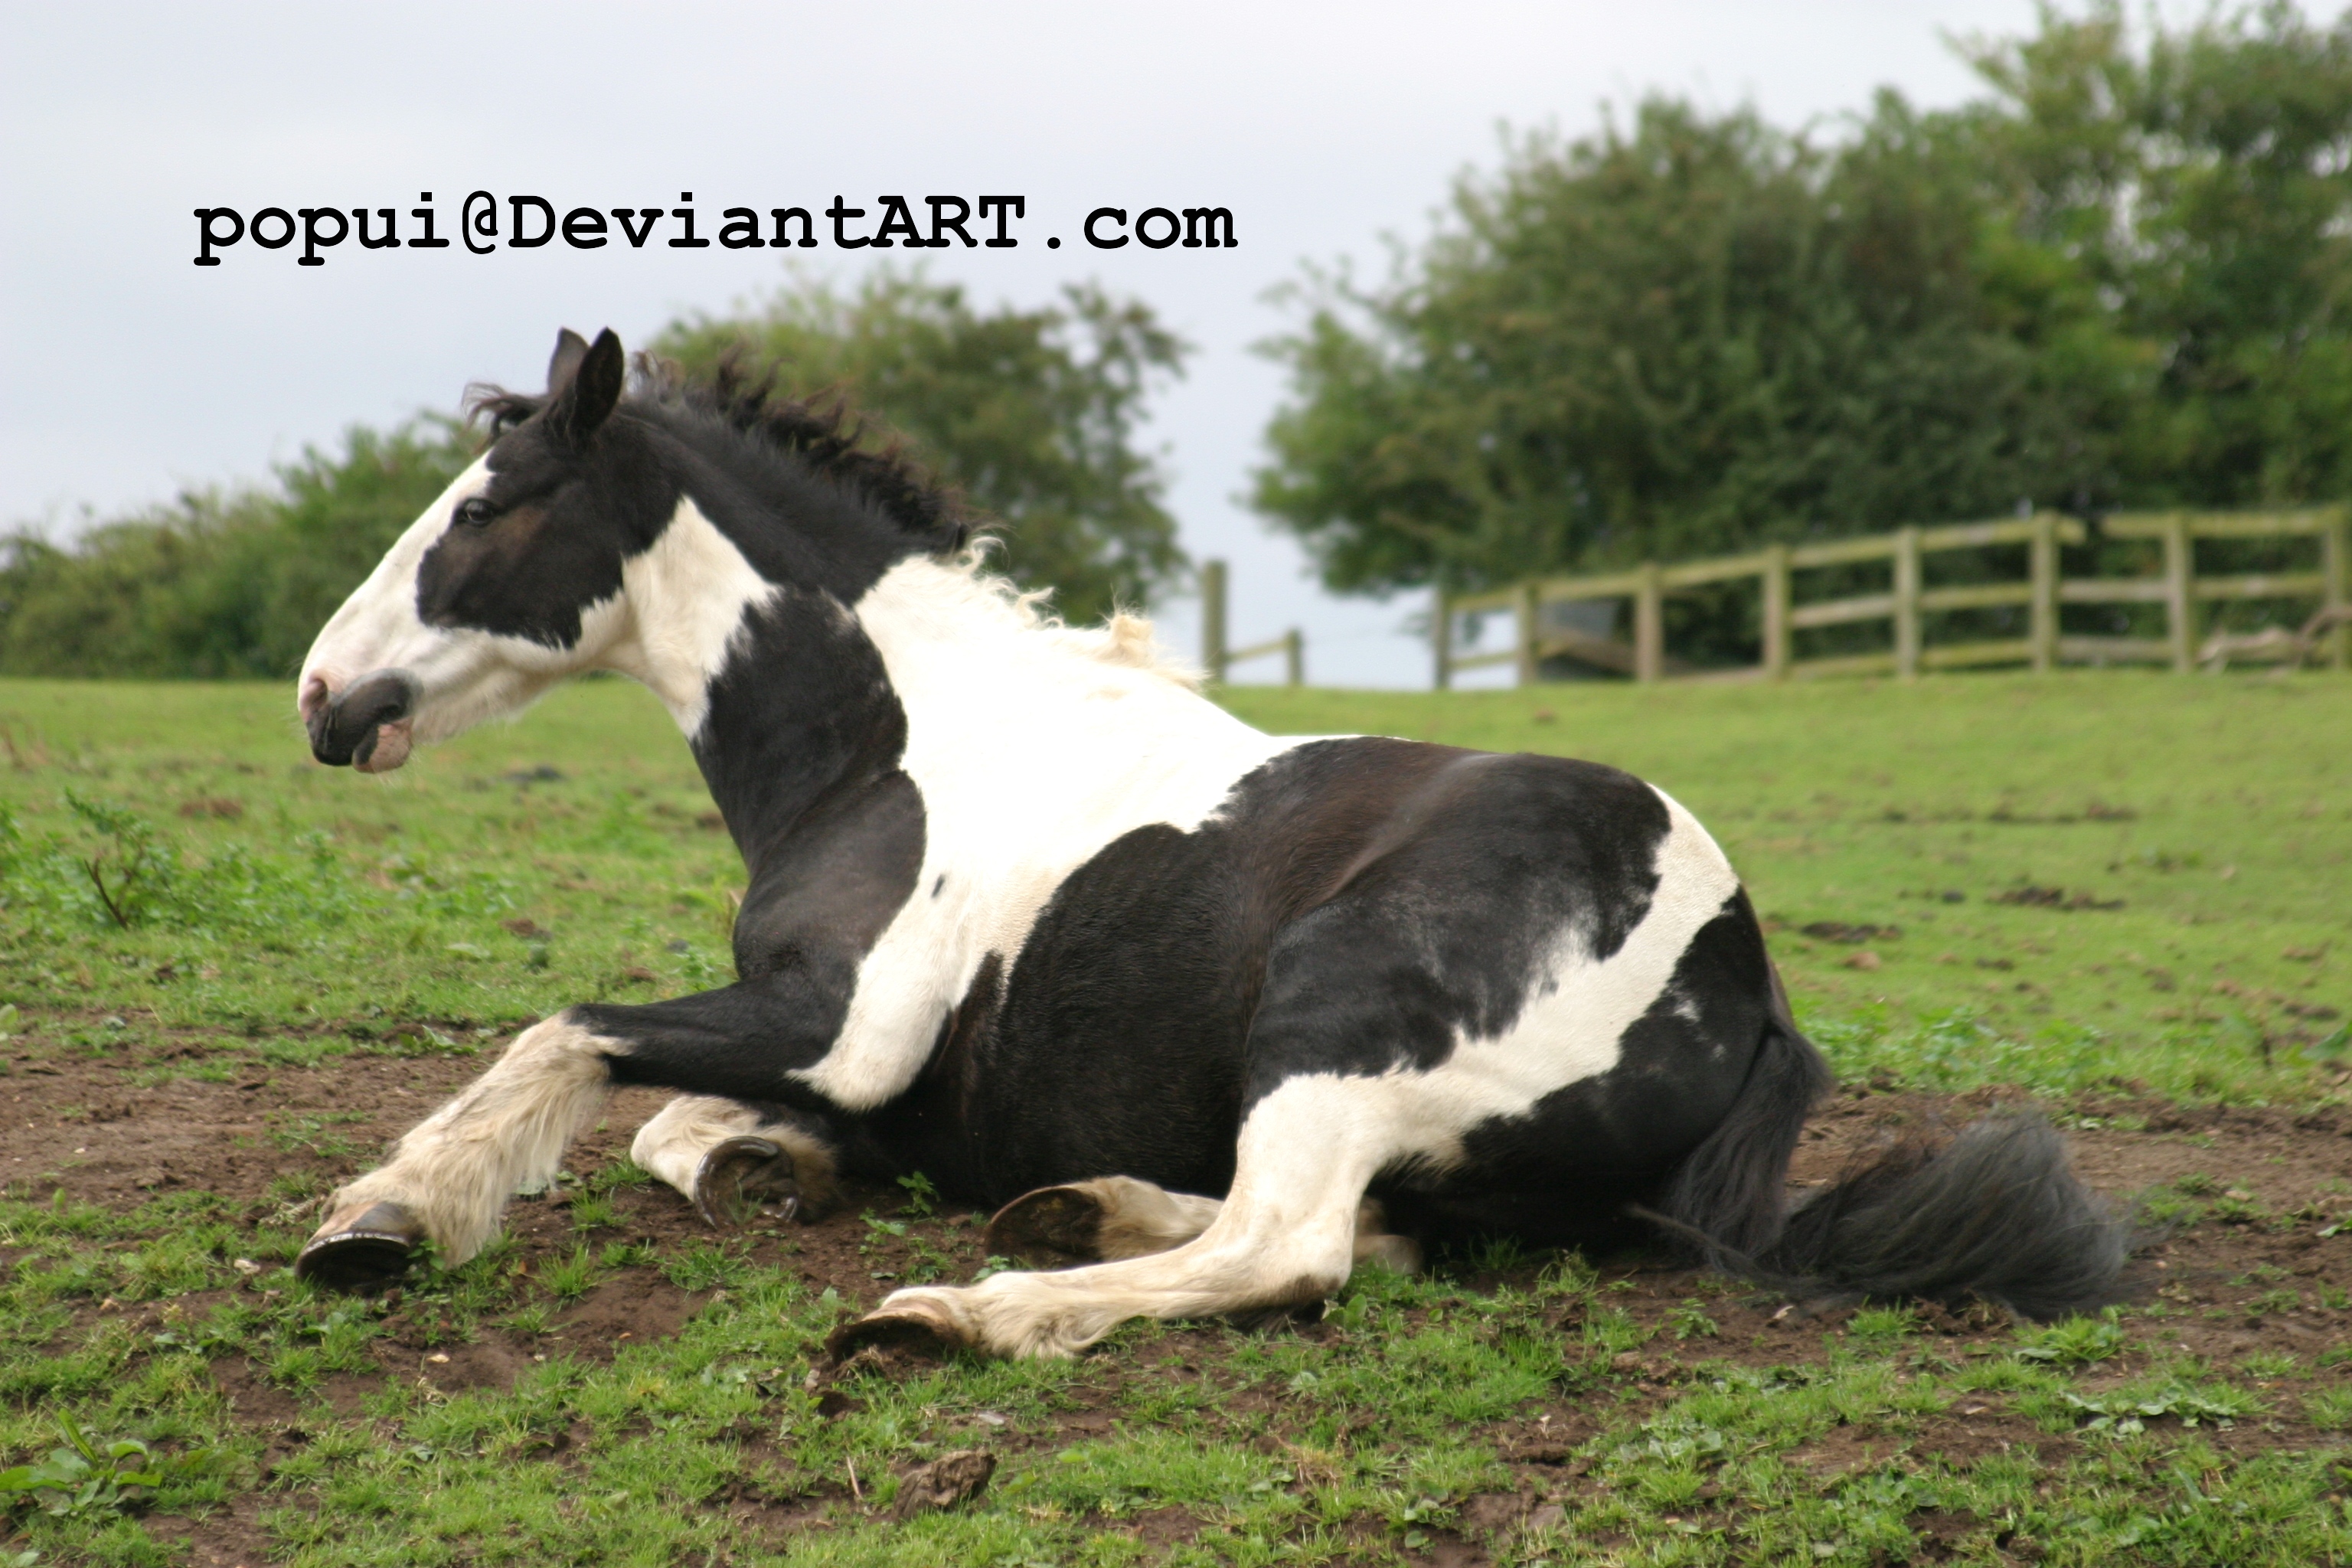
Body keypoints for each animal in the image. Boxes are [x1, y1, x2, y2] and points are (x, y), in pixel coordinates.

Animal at [294, 324, 2135, 1354]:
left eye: (480, 506)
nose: (320, 693)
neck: (895, 738)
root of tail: (1740, 979)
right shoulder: (834, 1056)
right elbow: (670, 1126)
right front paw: (776, 1163)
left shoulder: (848, 1023)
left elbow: (564, 1037)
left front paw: (381, 1217)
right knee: (1361, 1234)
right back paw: (1073, 1210)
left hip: (1331, 1012)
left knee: (1293, 1248)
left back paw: (958, 1315)